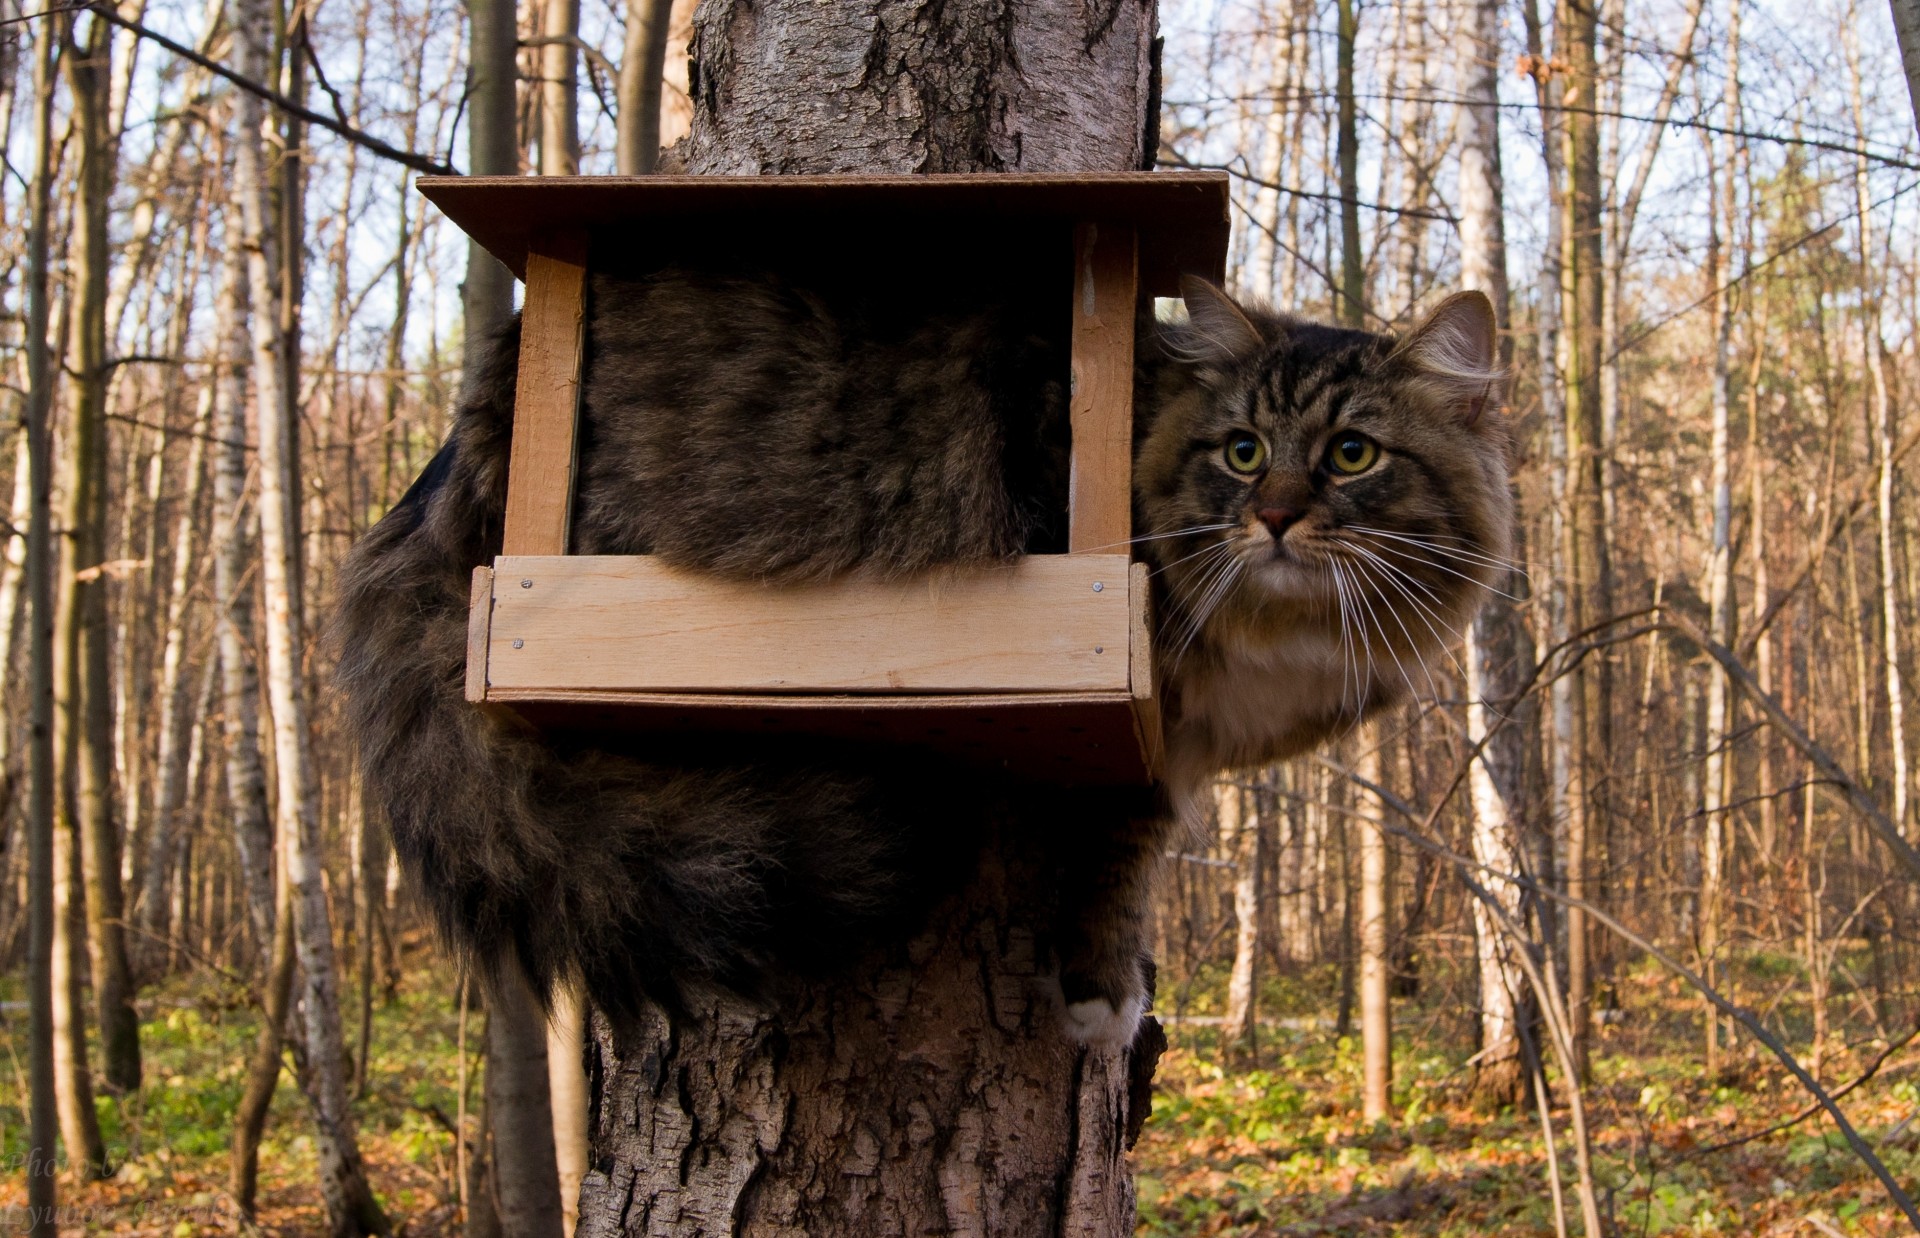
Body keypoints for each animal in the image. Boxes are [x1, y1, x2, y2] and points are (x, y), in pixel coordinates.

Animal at [334, 264, 1512, 1036]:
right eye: (1244, 451)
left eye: (1352, 455)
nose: (1272, 519)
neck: (1276, 637)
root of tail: (447, 456)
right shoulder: (1144, 724)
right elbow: (1111, 855)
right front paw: (1101, 997)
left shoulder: (1163, 751)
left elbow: (1126, 855)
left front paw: (1104, 977)